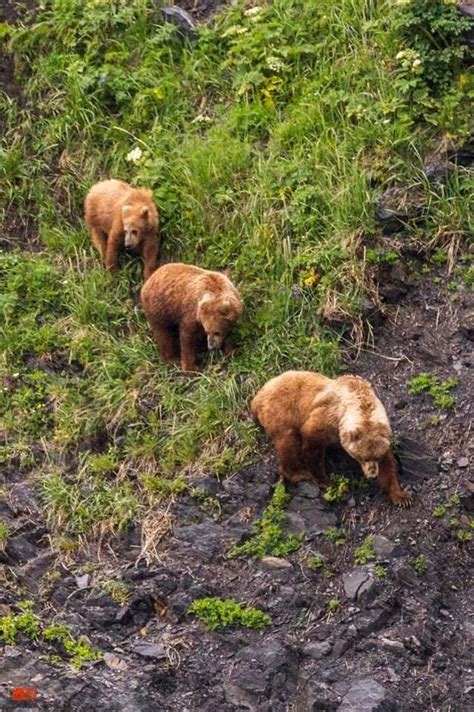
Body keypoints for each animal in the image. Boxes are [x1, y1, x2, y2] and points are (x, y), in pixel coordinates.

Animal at [252, 372, 412, 506]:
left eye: (376, 457)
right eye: (362, 457)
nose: (372, 475)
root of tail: (257, 396)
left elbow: (388, 465)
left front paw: (401, 496)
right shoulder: (329, 416)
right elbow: (312, 443)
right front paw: (326, 481)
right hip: (281, 411)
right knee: (288, 441)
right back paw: (298, 473)